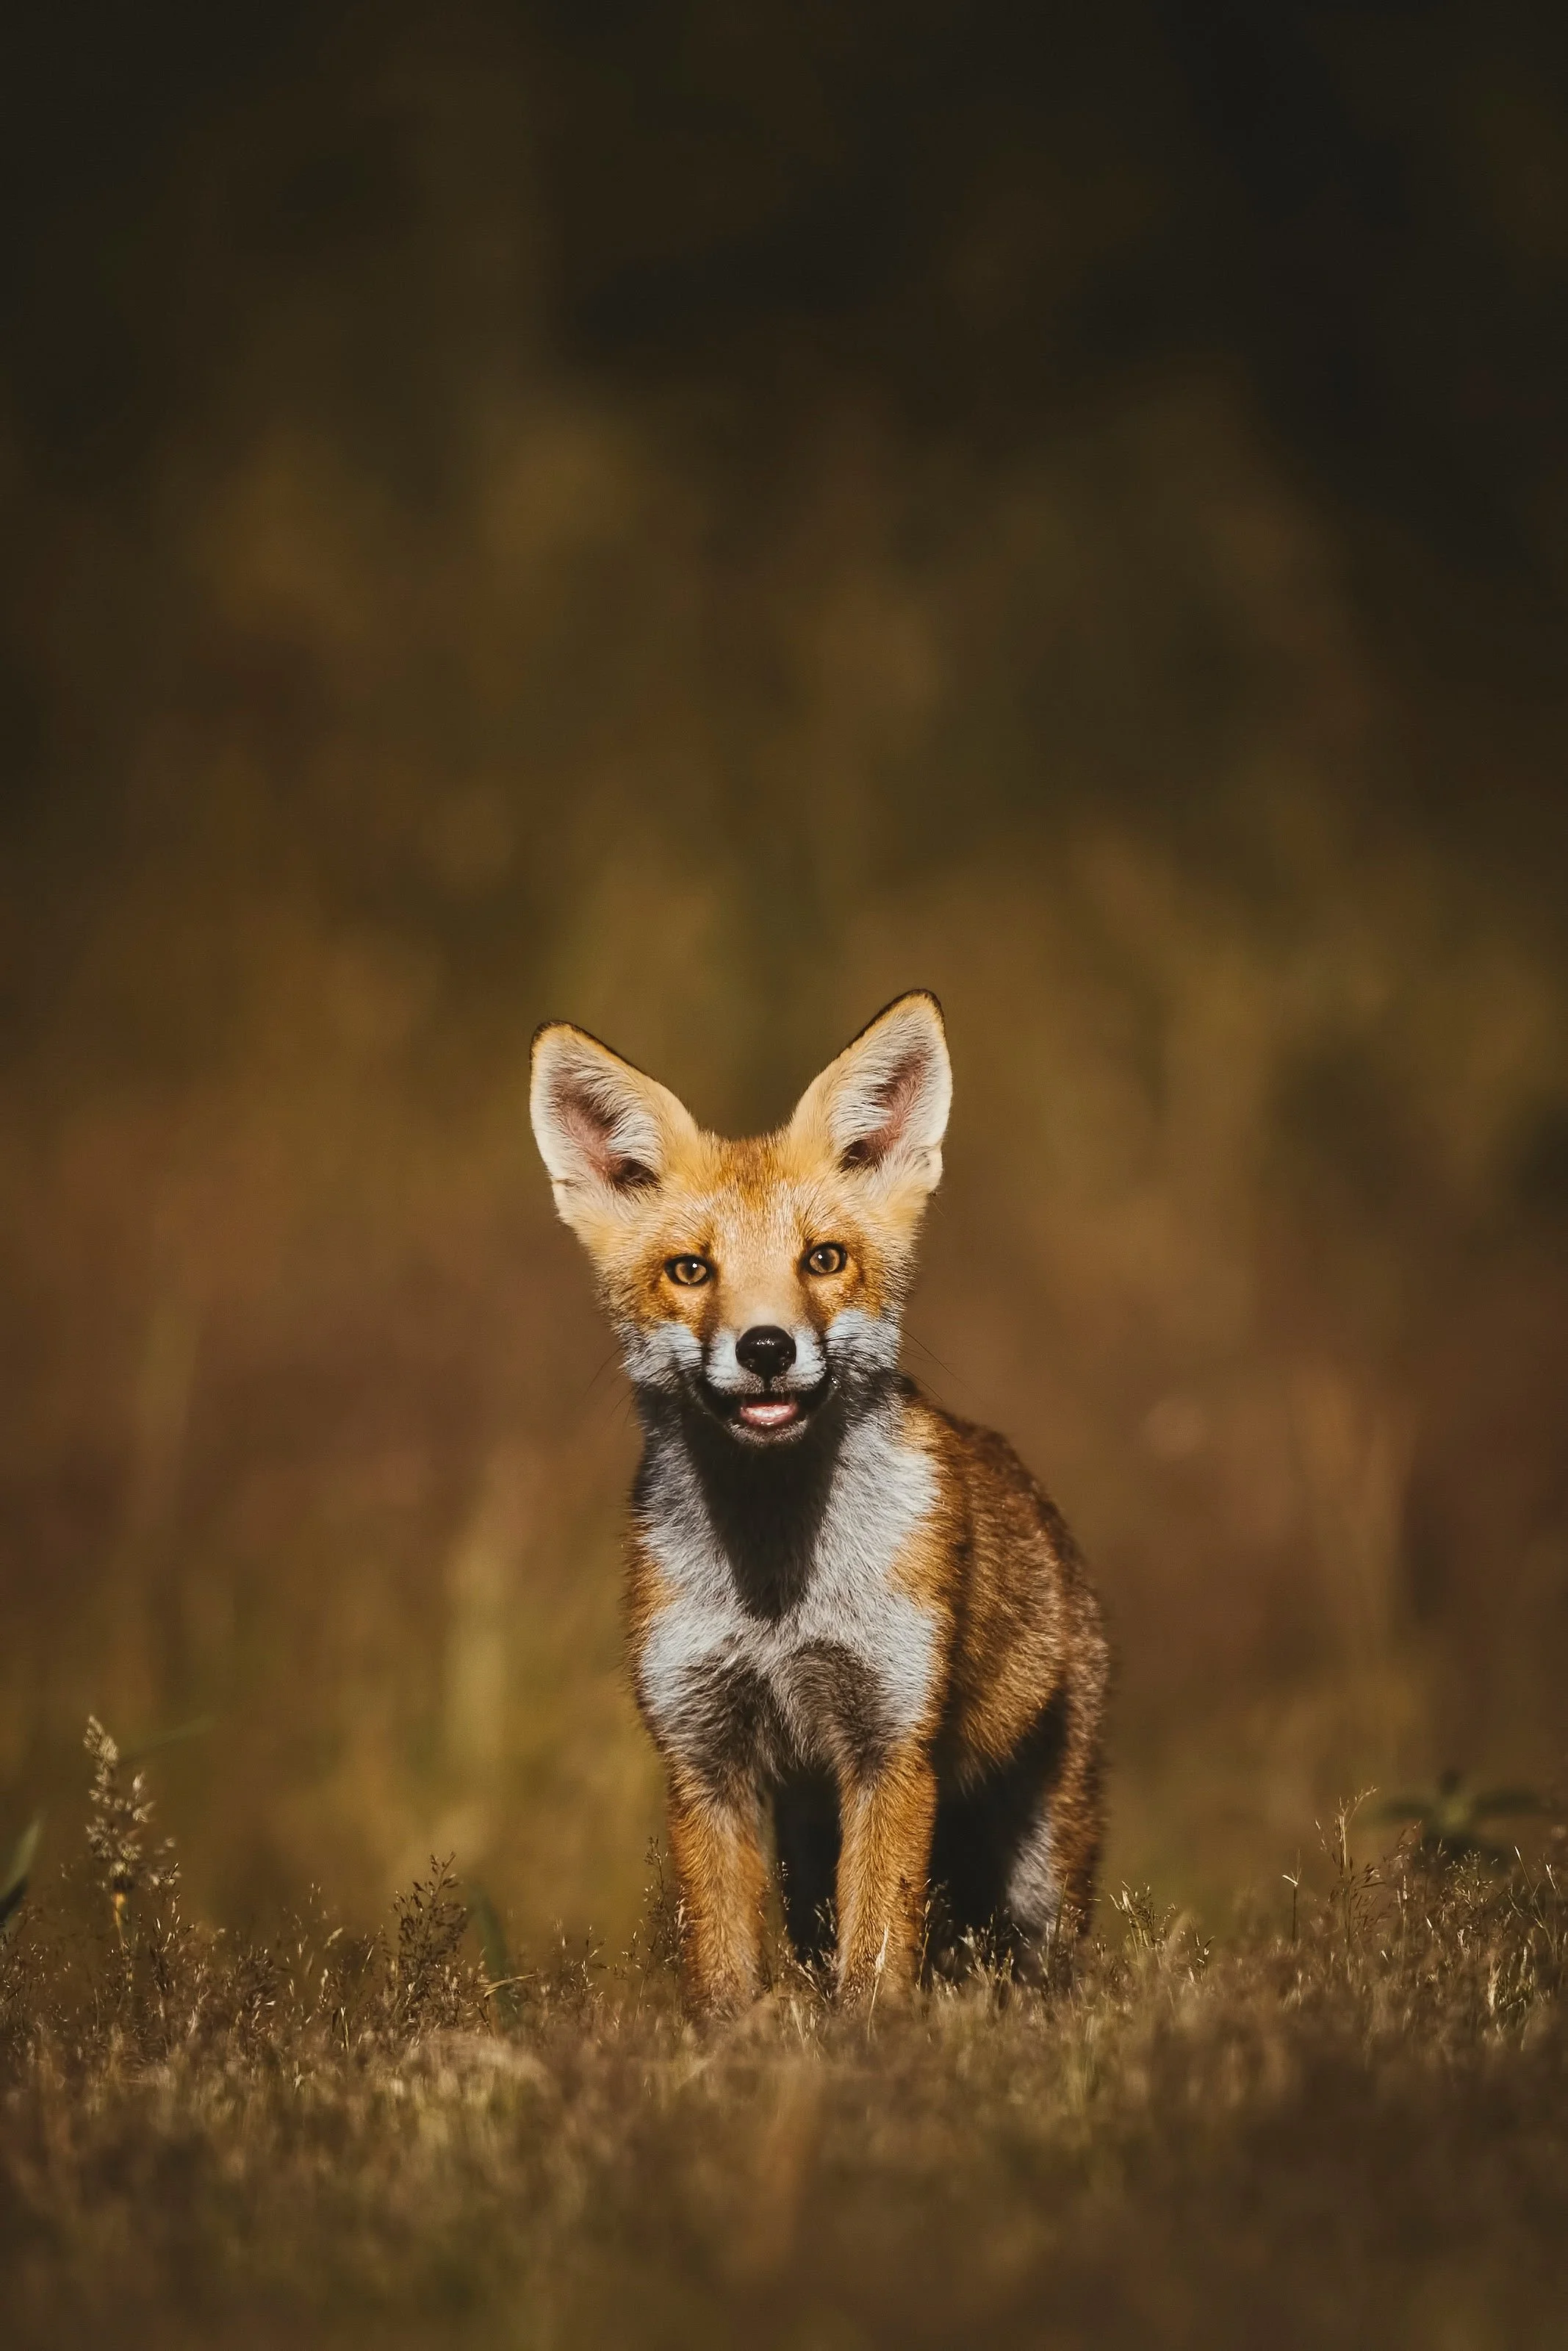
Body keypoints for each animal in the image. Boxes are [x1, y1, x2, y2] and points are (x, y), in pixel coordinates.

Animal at [529, 990, 1108, 2012]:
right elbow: (724, 1967)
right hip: (804, 1832)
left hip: (1039, 1864)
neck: (776, 1592)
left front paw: (874, 2040)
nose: (766, 1346)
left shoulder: (892, 1741)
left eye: (824, 1259)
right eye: (691, 1270)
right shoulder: (702, 1750)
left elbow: (876, 1954)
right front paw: (733, 2039)